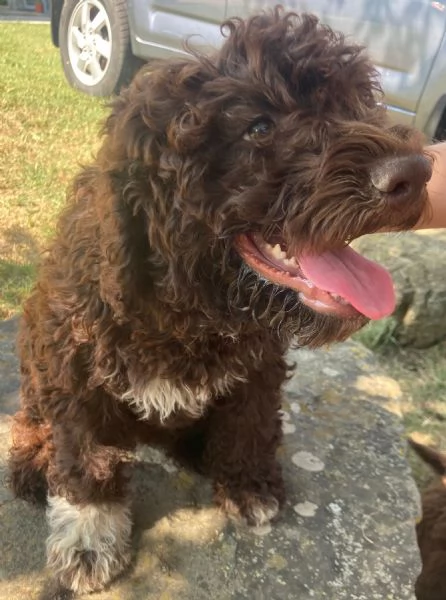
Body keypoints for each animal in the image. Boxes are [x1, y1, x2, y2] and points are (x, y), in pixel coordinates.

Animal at [7, 9, 432, 596]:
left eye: (355, 104)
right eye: (258, 128)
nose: (417, 172)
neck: (192, 308)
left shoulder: (259, 362)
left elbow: (249, 421)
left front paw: (247, 484)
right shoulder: (75, 359)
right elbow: (87, 454)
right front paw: (89, 538)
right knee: (31, 411)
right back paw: (32, 459)